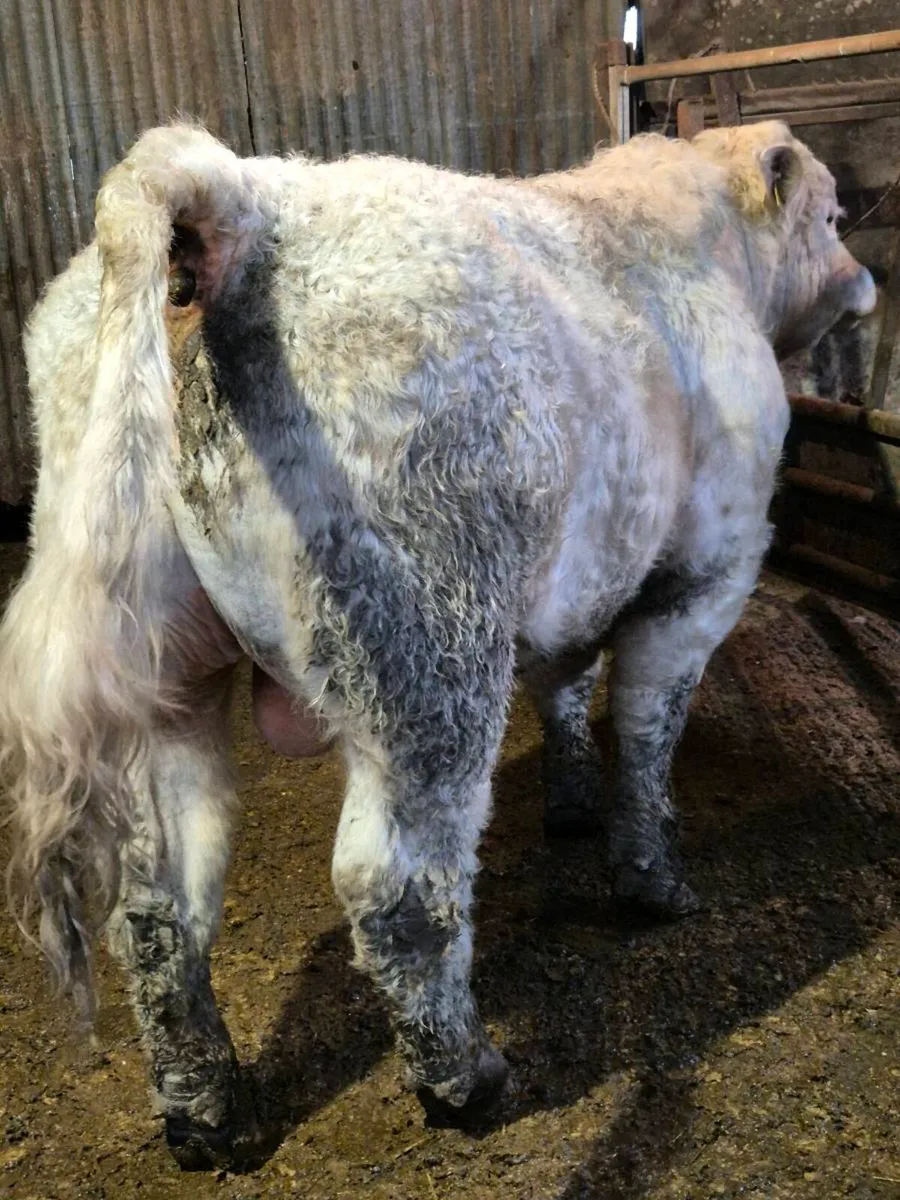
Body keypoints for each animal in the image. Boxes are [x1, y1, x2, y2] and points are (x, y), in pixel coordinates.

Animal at [0, 120, 875, 1169]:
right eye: (831, 214)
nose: (865, 281)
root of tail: (236, 195)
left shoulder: (575, 580)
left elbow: (567, 686)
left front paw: (570, 802)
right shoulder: (707, 571)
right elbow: (647, 732)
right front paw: (653, 882)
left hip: (156, 675)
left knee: (156, 903)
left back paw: (209, 1116)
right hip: (426, 653)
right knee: (397, 888)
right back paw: (465, 1078)